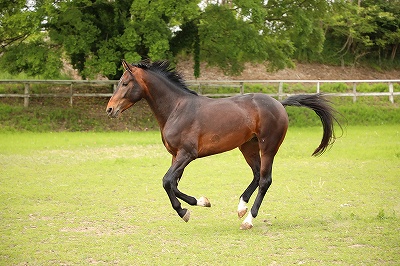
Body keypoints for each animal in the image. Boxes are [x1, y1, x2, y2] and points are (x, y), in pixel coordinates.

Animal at [106, 59, 340, 229]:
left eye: (125, 83)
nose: (110, 109)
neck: (177, 109)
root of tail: (278, 103)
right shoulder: (175, 155)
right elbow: (172, 183)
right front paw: (200, 203)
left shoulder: (187, 154)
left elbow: (166, 181)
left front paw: (186, 211)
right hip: (248, 147)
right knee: (257, 175)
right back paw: (241, 207)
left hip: (268, 147)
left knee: (265, 180)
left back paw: (248, 220)